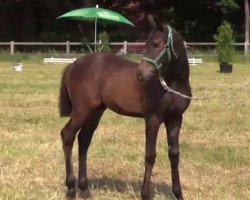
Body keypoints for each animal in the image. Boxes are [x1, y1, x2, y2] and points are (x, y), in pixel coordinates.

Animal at [59, 17, 191, 200]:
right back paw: (71, 189)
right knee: (67, 135)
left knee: (84, 139)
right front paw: (145, 194)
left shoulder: (175, 118)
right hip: (82, 109)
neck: (171, 85)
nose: (141, 73)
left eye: (156, 43)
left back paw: (85, 189)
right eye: (146, 44)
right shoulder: (153, 118)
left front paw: (178, 194)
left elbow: (174, 154)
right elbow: (150, 155)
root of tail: (72, 65)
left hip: (96, 111)